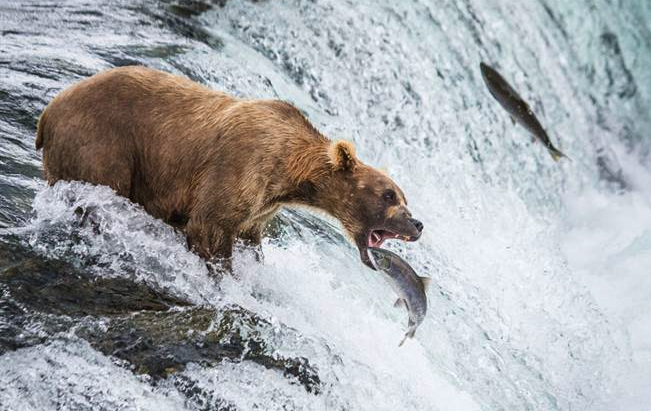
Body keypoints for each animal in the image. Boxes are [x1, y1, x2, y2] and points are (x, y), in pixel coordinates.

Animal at [35, 66, 426, 268]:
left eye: (403, 197)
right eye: (389, 195)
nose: (418, 224)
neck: (289, 172)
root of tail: (49, 110)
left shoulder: (261, 207)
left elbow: (249, 237)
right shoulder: (239, 167)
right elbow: (210, 227)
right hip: (102, 144)